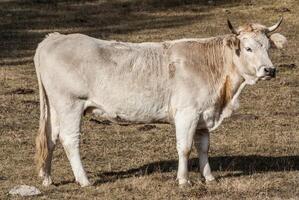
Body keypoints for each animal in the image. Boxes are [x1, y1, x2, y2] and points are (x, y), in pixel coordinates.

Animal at [34, 18, 288, 187]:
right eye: (248, 48)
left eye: (268, 47)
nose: (270, 70)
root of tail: (55, 38)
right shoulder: (187, 113)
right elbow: (184, 147)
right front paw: (183, 180)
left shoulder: (204, 115)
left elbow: (203, 147)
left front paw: (209, 177)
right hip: (70, 105)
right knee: (70, 140)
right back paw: (84, 180)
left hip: (55, 108)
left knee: (50, 137)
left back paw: (47, 178)